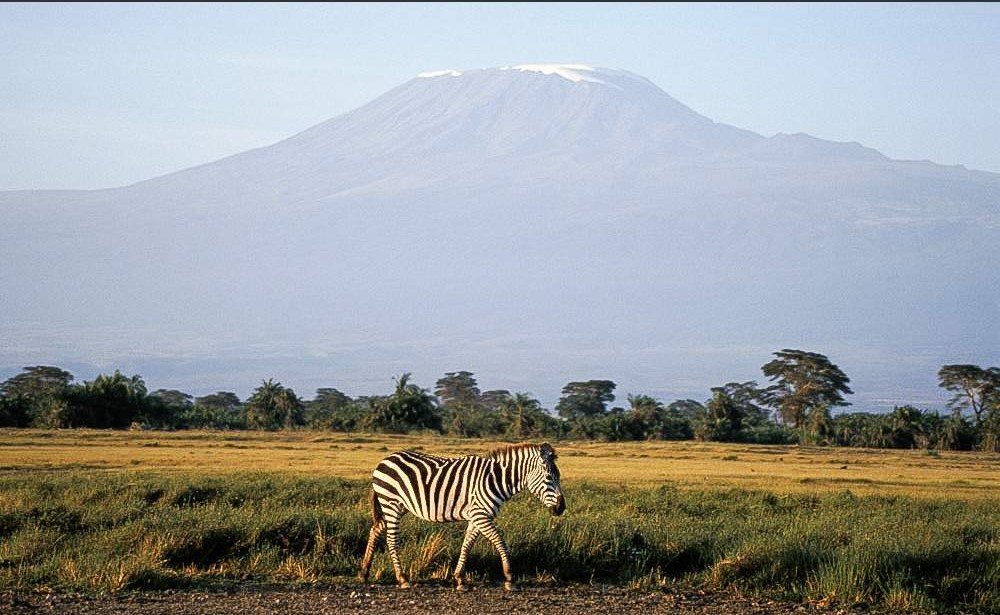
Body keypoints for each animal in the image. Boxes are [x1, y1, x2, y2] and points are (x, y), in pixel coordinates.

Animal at [358, 442, 565, 591]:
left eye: (559, 476)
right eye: (549, 478)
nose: (561, 508)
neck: (495, 479)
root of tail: (384, 460)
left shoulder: (476, 517)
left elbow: (467, 544)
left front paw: (459, 579)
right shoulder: (481, 514)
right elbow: (500, 541)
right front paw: (509, 578)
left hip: (397, 506)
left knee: (376, 529)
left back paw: (364, 572)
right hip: (391, 503)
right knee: (391, 539)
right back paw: (402, 579)